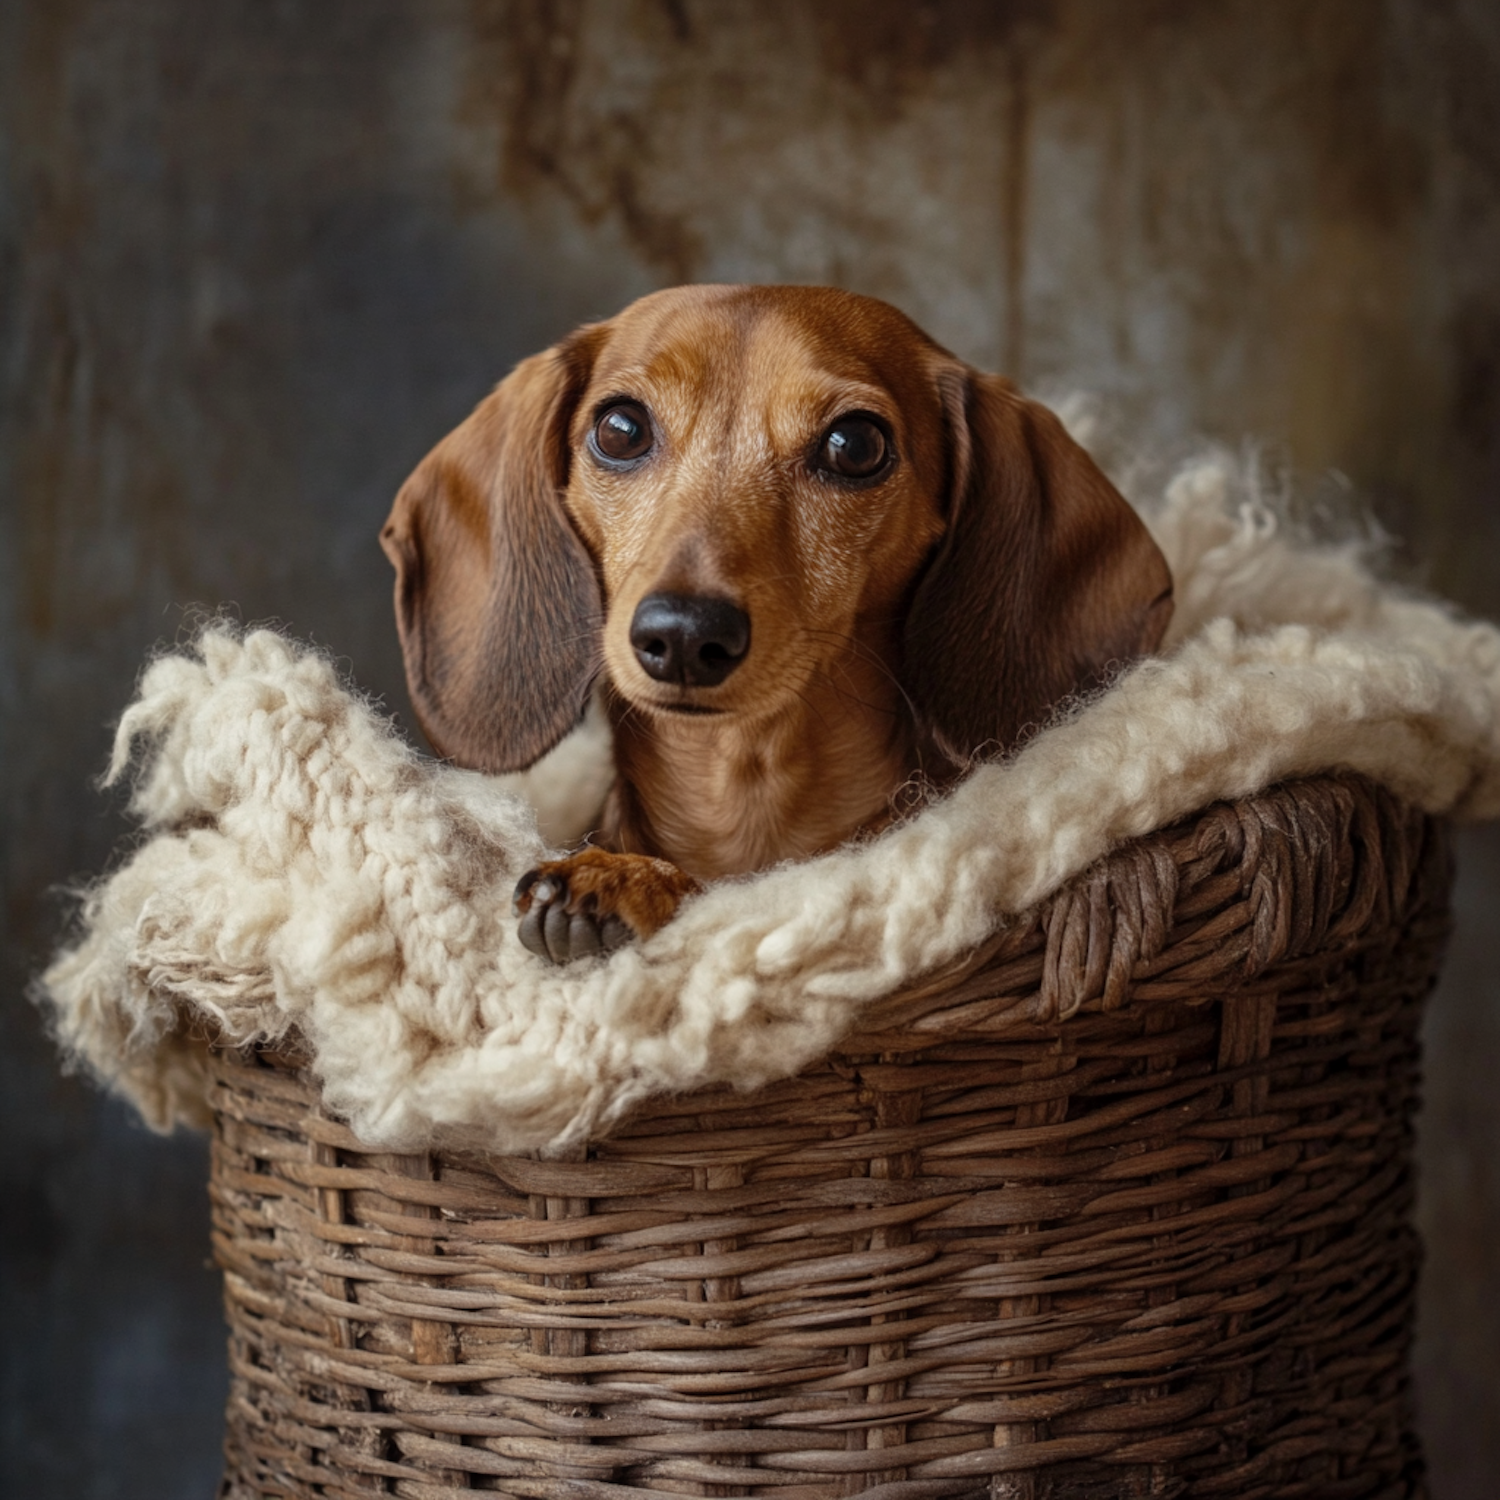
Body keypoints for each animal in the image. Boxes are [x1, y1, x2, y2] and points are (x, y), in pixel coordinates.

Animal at [378, 283, 1170, 960]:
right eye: (621, 428)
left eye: (856, 444)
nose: (684, 635)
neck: (747, 792)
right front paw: (619, 869)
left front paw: (627, 878)